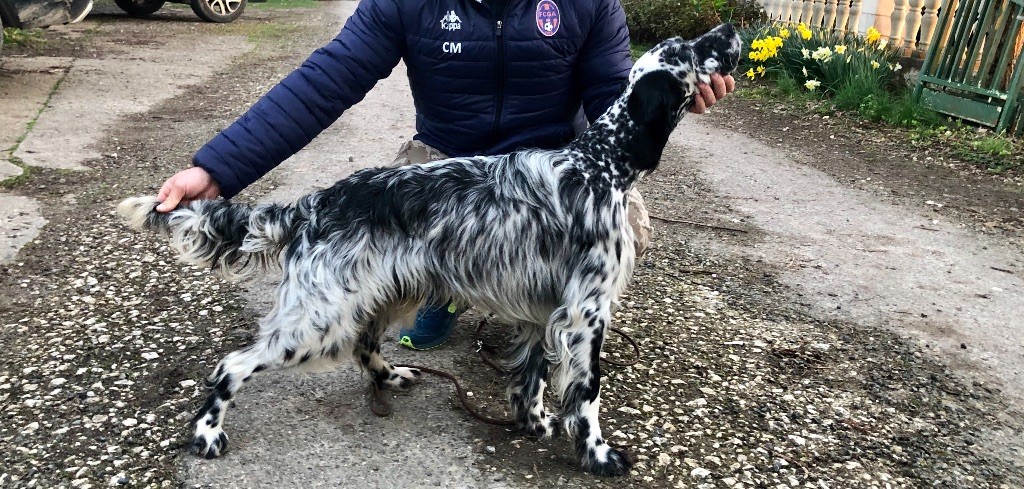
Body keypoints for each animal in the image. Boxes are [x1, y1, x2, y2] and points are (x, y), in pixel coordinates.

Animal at [119, 24, 741, 474]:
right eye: (690, 51)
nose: (733, 27)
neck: (602, 162)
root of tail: (313, 204)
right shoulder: (587, 312)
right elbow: (585, 393)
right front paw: (599, 455)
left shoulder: (546, 308)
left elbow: (534, 376)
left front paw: (534, 421)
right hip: (317, 320)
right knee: (232, 365)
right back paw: (207, 434)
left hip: (380, 292)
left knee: (365, 345)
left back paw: (392, 375)